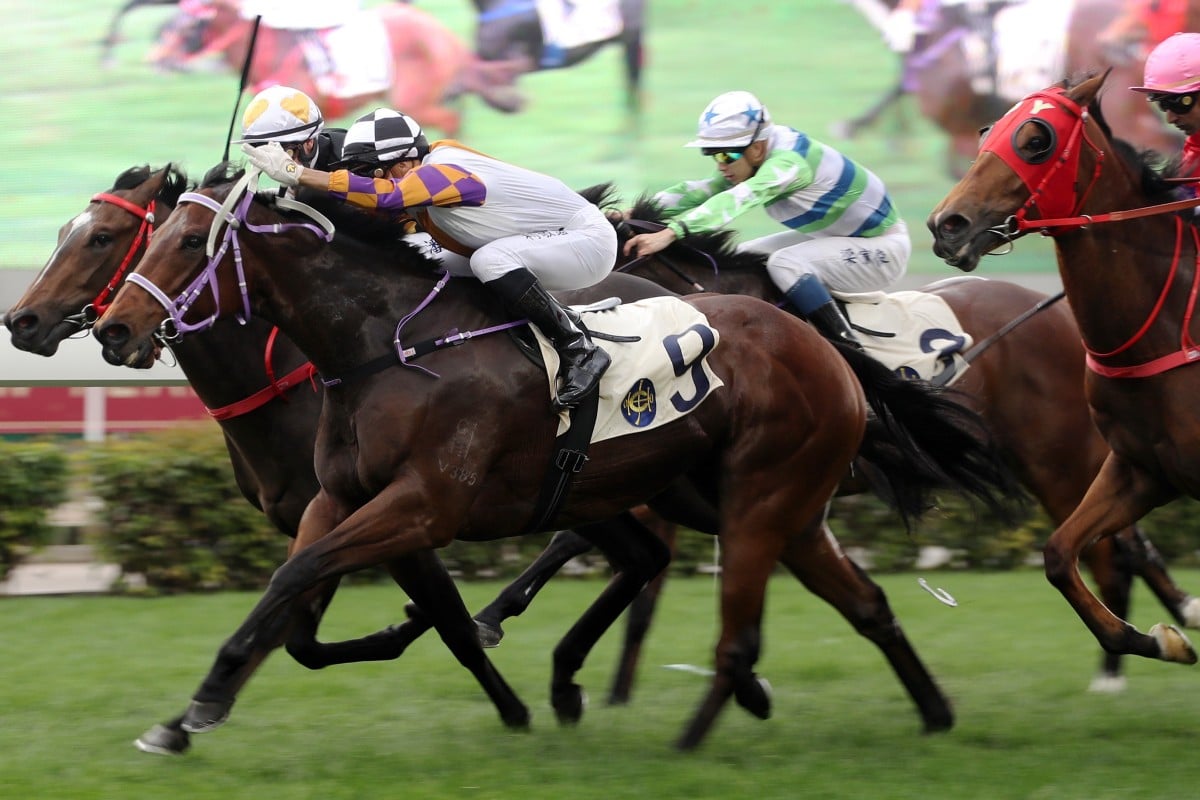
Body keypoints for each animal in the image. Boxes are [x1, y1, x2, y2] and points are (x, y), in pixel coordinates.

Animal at [91, 167, 1012, 753]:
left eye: (187, 244)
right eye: (151, 238)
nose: (113, 327)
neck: (383, 344)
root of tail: (818, 339)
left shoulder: (423, 506)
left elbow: (303, 578)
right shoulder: (336, 498)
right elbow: (291, 595)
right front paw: (194, 708)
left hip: (755, 494)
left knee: (738, 608)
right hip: (727, 497)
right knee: (855, 602)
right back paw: (929, 713)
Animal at [931, 70, 1200, 671]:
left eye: (1037, 140)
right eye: (986, 131)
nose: (947, 224)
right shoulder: (1140, 468)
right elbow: (1058, 554)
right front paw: (1160, 640)